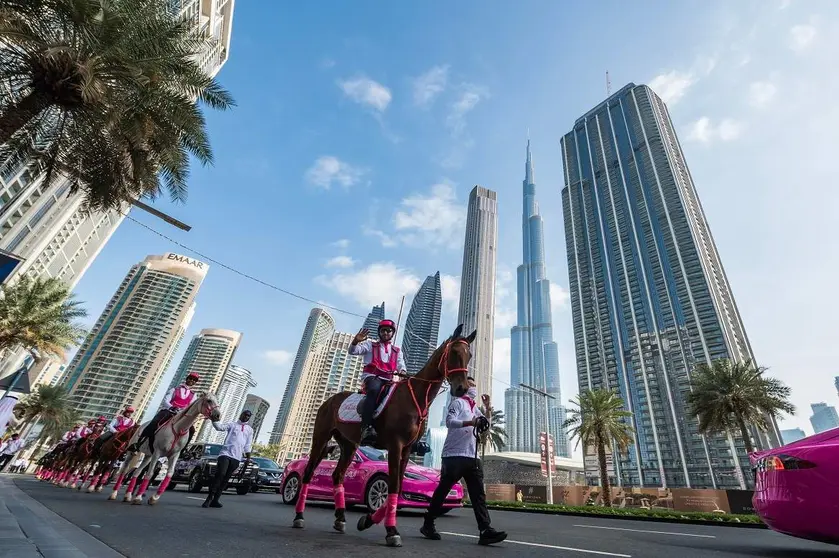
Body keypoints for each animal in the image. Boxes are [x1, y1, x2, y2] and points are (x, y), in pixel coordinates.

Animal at [290, 326, 472, 548]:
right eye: (454, 353)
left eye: (470, 355)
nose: (462, 388)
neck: (415, 397)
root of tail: (330, 400)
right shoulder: (395, 445)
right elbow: (393, 484)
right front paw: (391, 531)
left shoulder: (407, 449)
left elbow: (399, 485)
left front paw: (368, 520)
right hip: (320, 437)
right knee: (308, 473)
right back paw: (299, 517)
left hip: (349, 444)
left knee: (338, 475)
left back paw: (340, 518)